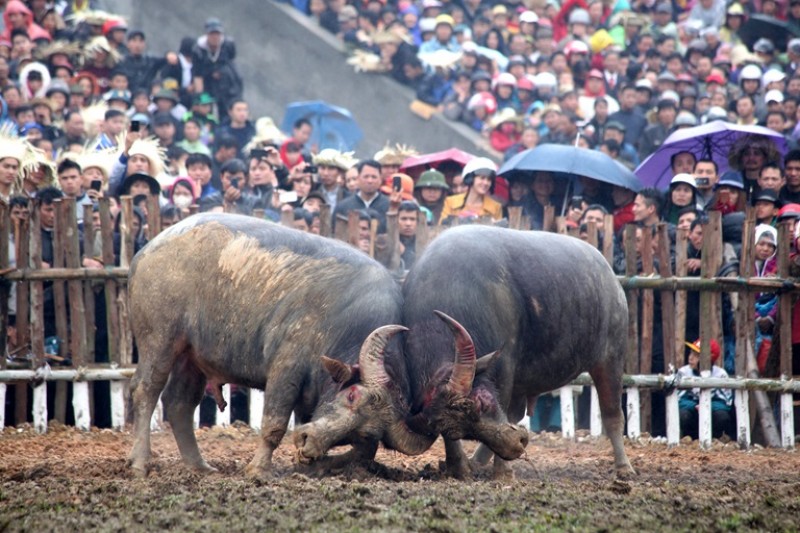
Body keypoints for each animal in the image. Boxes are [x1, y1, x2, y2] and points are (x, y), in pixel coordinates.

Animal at [127, 214, 428, 476]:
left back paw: (199, 466)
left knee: (180, 403)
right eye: (352, 395)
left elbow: (360, 451)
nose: (309, 442)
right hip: (160, 339)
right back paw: (140, 463)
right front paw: (259, 470)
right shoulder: (286, 369)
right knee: (146, 390)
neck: (346, 321)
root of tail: (147, 251)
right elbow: (274, 425)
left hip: (193, 357)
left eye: (362, 432)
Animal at [294, 224, 632, 478]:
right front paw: (460, 467)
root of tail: (609, 275)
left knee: (612, 414)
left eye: (480, 403)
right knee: (517, 414)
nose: (518, 442)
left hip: (611, 358)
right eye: (461, 427)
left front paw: (502, 473)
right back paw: (480, 461)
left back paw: (624, 468)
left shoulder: (505, 369)